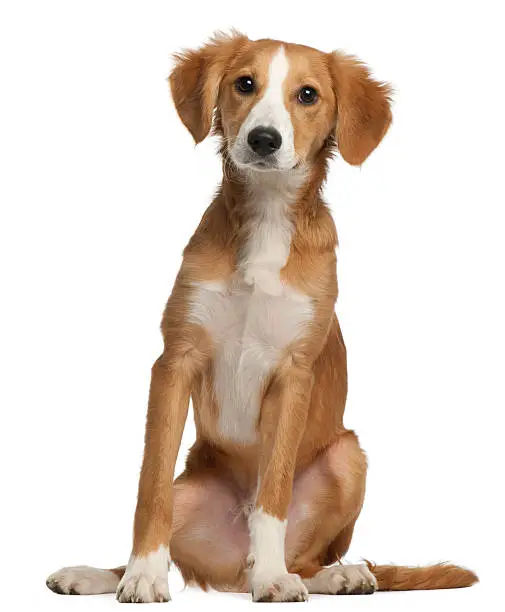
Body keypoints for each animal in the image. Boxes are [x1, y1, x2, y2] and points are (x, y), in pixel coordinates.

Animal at [46, 33, 476, 604]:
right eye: (244, 84)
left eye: (308, 94)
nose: (264, 140)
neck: (268, 218)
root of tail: (230, 573)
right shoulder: (175, 360)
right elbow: (150, 486)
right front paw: (144, 574)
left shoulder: (294, 373)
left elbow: (272, 493)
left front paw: (272, 577)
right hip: (193, 493)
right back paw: (94, 574)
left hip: (349, 456)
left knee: (309, 557)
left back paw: (335, 575)